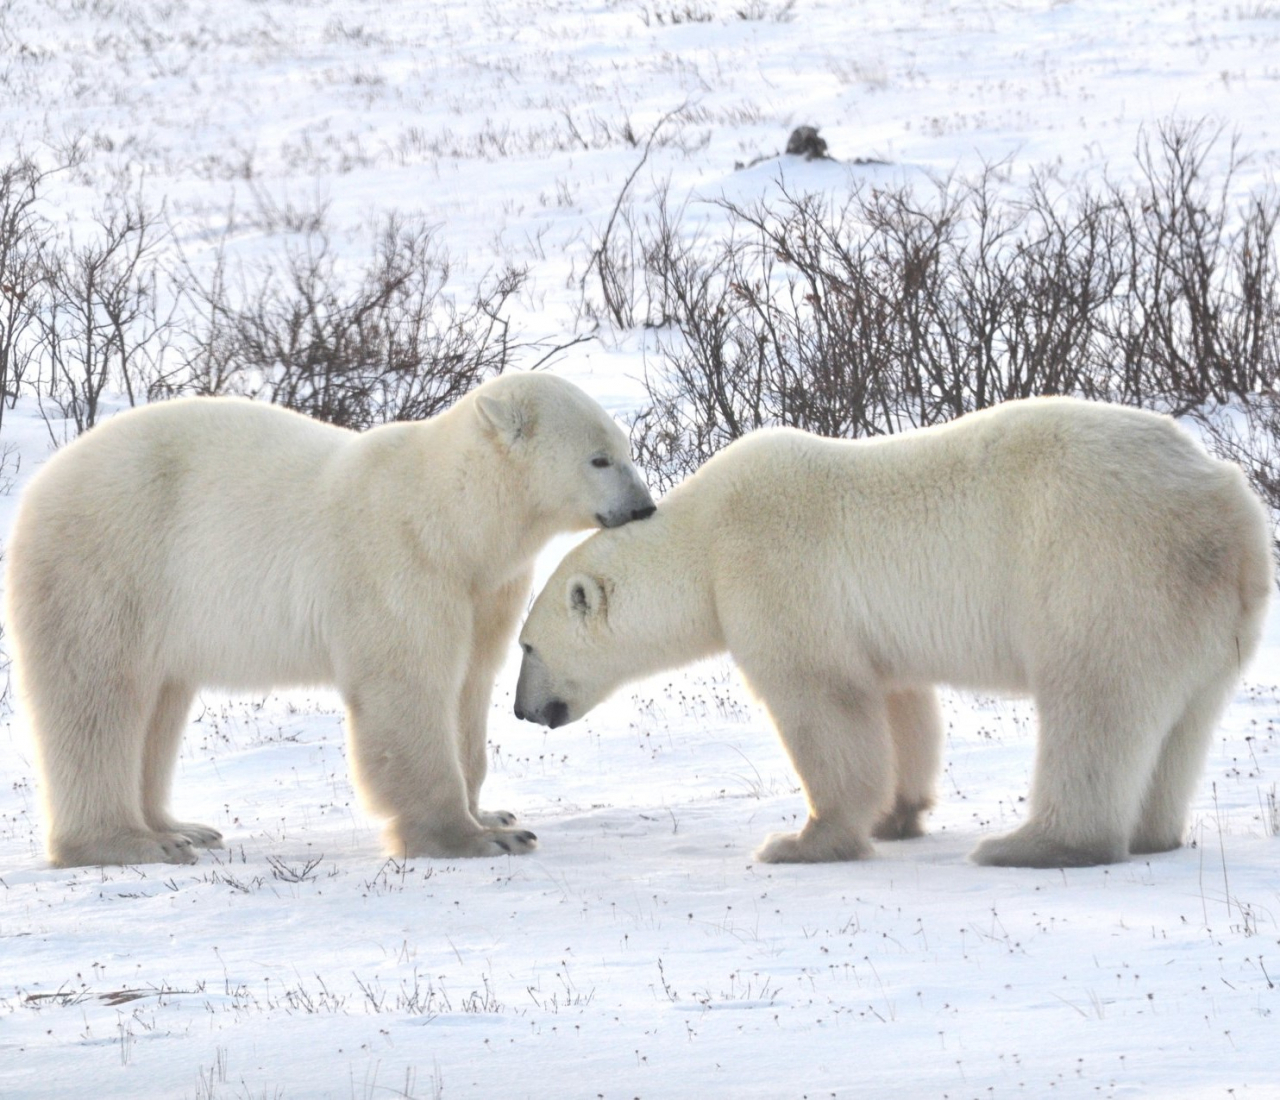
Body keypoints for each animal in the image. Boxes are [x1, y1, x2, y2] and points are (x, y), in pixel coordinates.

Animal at [5, 371, 655, 870]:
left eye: (625, 450)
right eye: (599, 459)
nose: (645, 507)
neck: (450, 518)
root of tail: (42, 482)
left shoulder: (483, 588)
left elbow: (469, 687)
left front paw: (493, 812)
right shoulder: (400, 567)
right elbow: (408, 691)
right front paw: (476, 838)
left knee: (159, 705)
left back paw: (180, 827)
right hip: (110, 564)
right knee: (97, 698)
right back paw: (129, 843)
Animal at [514, 396, 1274, 870]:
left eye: (527, 647)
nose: (523, 710)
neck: (703, 537)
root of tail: (1228, 506)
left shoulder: (771, 569)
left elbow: (822, 702)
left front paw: (802, 841)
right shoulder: (876, 634)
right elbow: (900, 705)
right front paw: (896, 816)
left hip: (1105, 568)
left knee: (1094, 703)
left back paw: (1031, 845)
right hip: (1207, 615)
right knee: (1183, 721)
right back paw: (1153, 834)